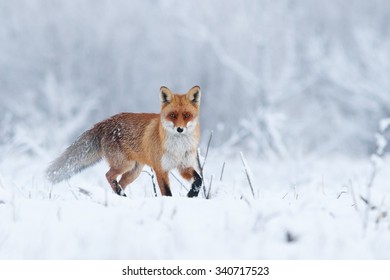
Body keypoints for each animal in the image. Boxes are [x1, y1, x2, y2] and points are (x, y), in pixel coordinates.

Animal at [46, 86, 201, 198]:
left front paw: (192, 194)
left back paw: (121, 196)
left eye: (187, 115)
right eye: (172, 115)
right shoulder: (160, 168)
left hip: (134, 171)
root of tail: (105, 122)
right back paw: (121, 195)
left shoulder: (184, 166)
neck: (178, 148)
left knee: (119, 182)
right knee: (109, 176)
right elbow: (167, 192)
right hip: (125, 164)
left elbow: (198, 180)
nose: (180, 129)